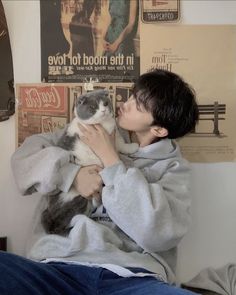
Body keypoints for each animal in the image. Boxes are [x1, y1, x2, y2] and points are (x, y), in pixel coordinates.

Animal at [41, 89, 138, 236]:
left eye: (105, 103)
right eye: (93, 107)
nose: (103, 110)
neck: (103, 126)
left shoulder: (115, 137)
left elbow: (122, 145)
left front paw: (133, 148)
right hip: (77, 199)